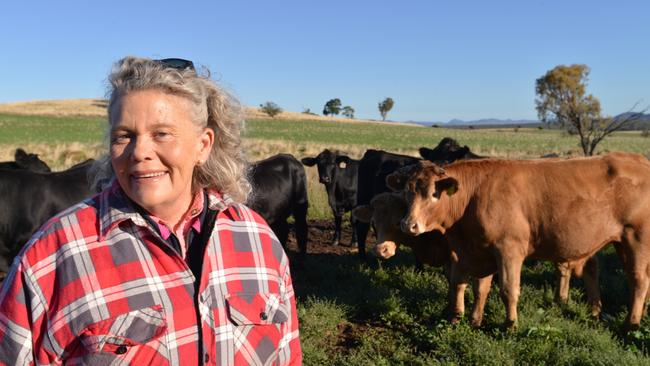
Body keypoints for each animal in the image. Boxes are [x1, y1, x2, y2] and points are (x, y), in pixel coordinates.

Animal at [390, 153, 648, 330]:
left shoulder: (509, 249)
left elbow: (508, 289)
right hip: (621, 242)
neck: (473, 196)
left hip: (637, 238)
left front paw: (511, 325)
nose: (408, 225)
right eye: (407, 191)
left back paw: (630, 325)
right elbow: (479, 288)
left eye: (434, 194)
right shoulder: (480, 252)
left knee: (638, 280)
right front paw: (474, 320)